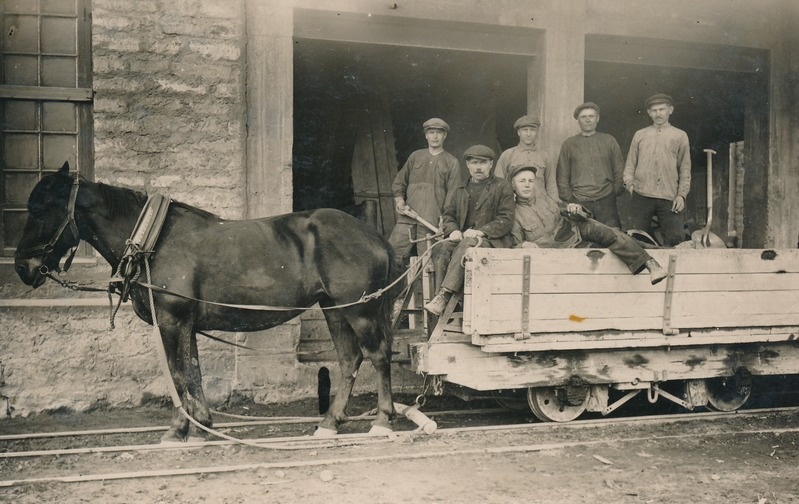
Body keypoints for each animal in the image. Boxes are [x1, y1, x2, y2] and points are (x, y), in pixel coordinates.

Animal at [14, 163, 398, 442]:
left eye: (41, 210)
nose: (22, 267)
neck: (154, 241)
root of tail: (372, 234)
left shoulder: (171, 321)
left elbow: (177, 373)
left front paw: (178, 429)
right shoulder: (187, 325)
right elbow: (192, 372)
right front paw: (201, 424)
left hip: (359, 311)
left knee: (378, 355)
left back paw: (382, 421)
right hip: (335, 311)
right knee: (349, 360)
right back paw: (330, 423)